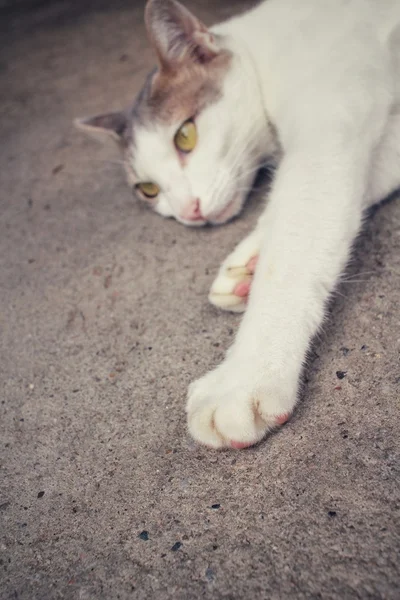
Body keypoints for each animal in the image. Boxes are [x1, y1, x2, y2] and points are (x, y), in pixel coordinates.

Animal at [76, 0, 400, 450]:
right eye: (148, 189)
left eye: (186, 136)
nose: (189, 210)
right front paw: (249, 264)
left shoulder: (329, 129)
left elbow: (294, 243)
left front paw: (244, 379)